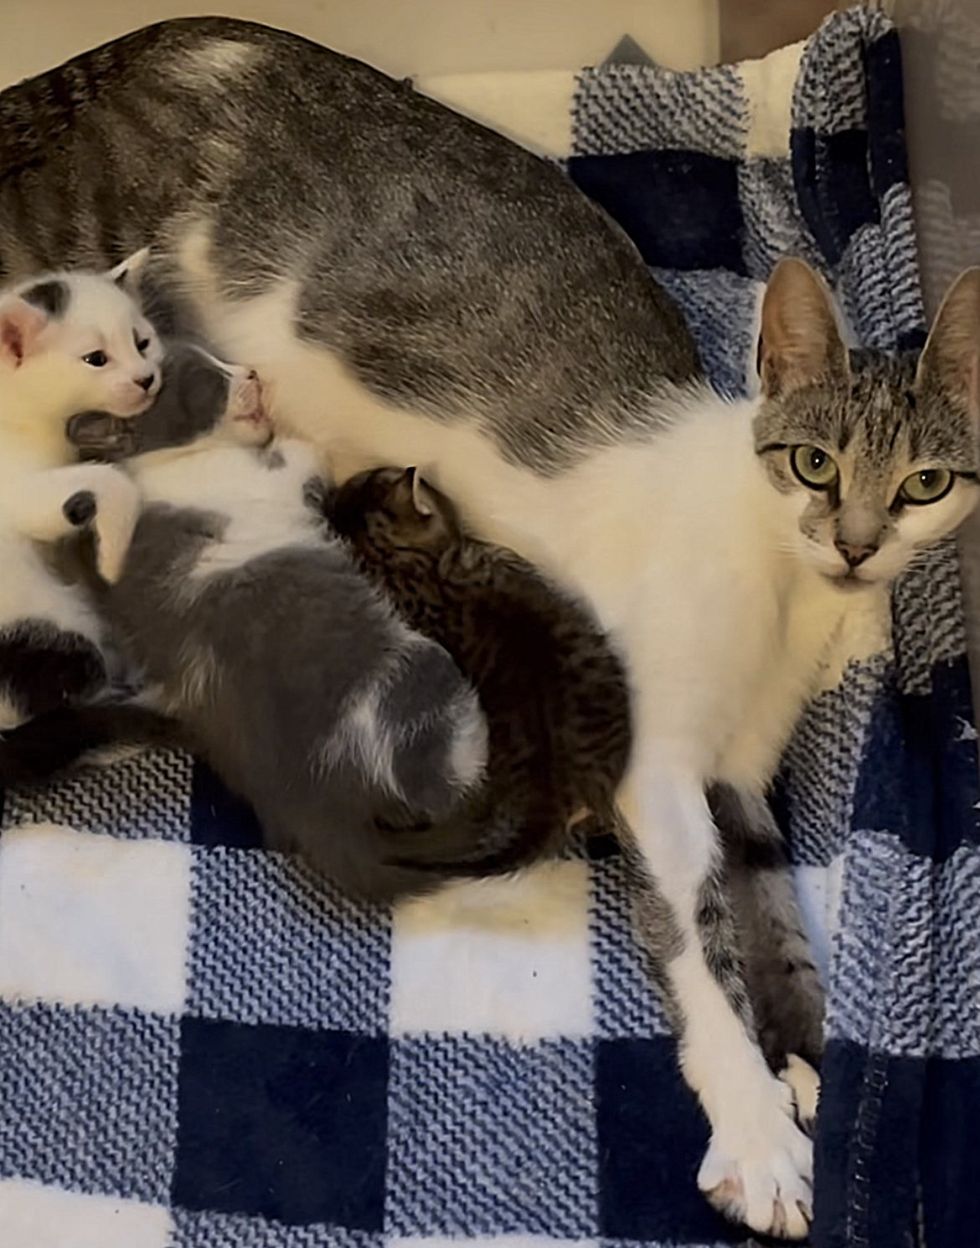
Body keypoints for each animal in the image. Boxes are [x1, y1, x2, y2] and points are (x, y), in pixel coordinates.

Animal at [0, 252, 162, 723]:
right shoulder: (12, 493)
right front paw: (113, 559)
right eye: (95, 359)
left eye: (142, 343)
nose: (146, 378)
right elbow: (113, 480)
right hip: (44, 622)